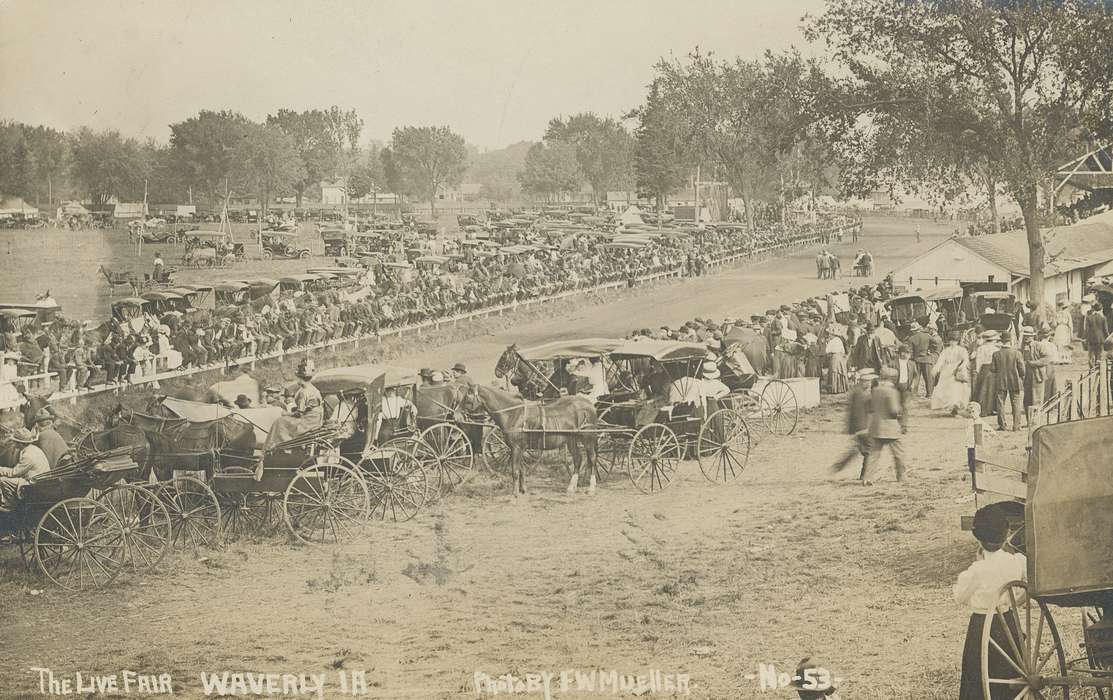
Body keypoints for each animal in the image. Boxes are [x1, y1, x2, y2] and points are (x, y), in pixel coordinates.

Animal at [456, 382, 601, 496]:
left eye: (467, 397)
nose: (456, 416)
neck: (513, 413)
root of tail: (589, 405)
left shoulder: (517, 448)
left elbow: (515, 471)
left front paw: (514, 495)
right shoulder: (517, 448)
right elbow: (521, 469)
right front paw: (522, 489)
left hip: (588, 439)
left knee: (592, 459)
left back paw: (591, 488)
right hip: (571, 439)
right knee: (578, 459)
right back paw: (571, 488)